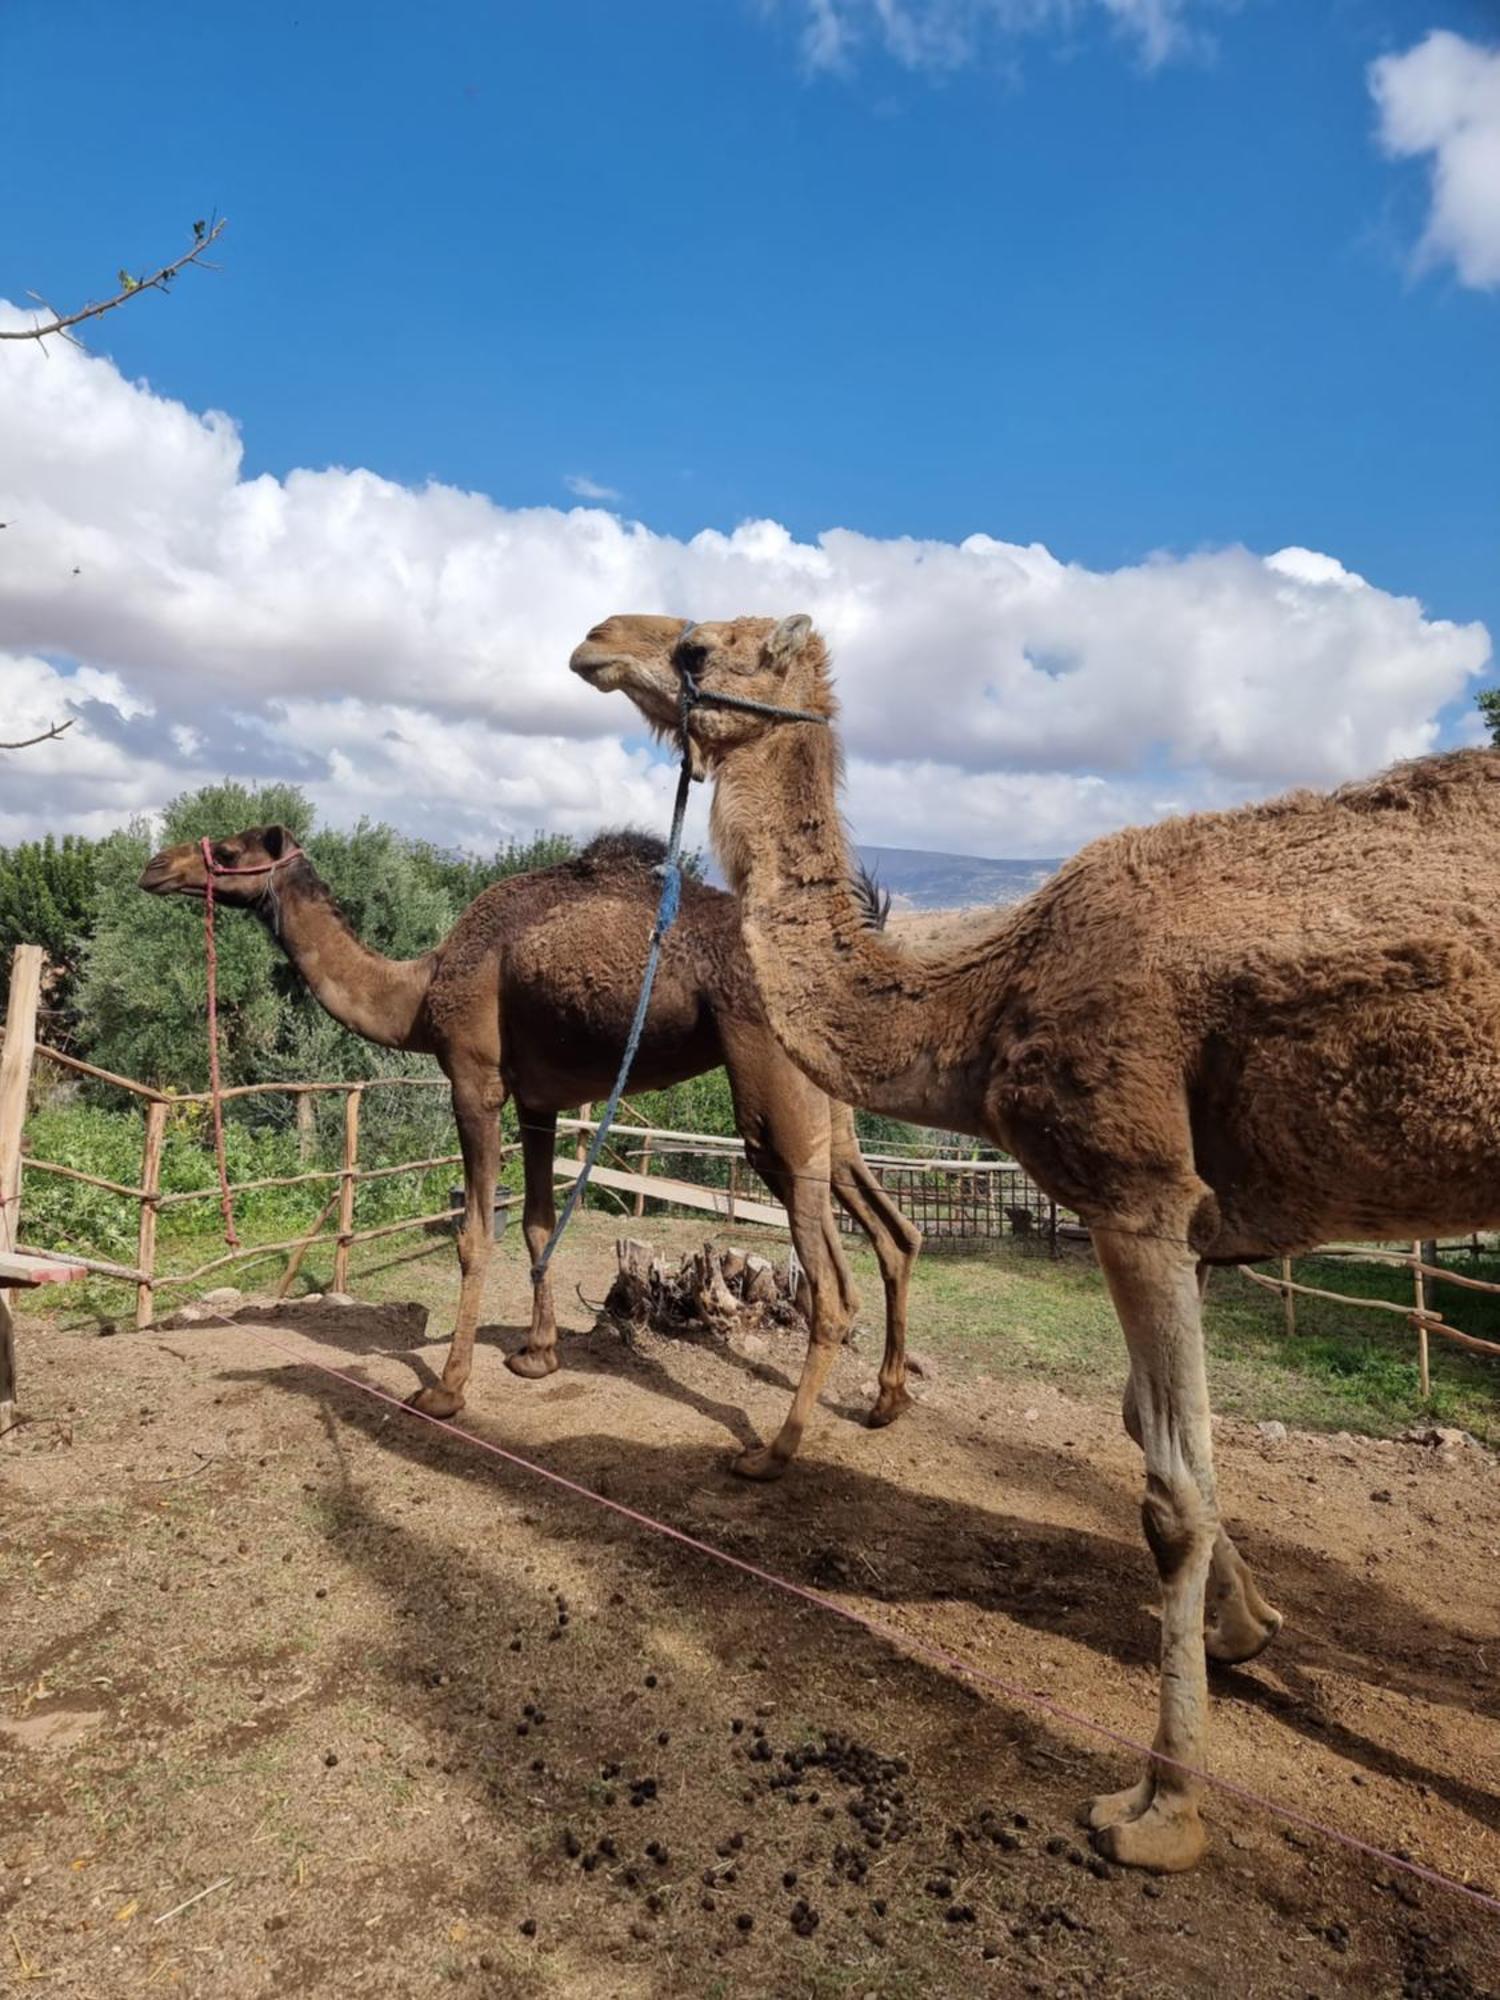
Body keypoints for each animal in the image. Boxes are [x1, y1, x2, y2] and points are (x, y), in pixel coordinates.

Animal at [138, 824, 928, 1472]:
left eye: (229, 850)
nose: (154, 866)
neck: (418, 992)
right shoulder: (540, 1100)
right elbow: (538, 1222)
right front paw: (537, 1355)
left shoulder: (474, 1080)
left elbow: (474, 1233)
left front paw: (446, 1390)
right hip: (830, 1098)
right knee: (895, 1232)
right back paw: (884, 1402)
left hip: (770, 1084)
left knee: (830, 1280)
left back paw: (774, 1452)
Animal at [568, 608, 1500, 1872]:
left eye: (702, 646)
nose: (594, 638)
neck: (984, 995)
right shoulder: (1174, 1221)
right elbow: (1159, 1435)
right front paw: (1250, 1629)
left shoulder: (1137, 1190)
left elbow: (1171, 1492)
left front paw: (1160, 1805)